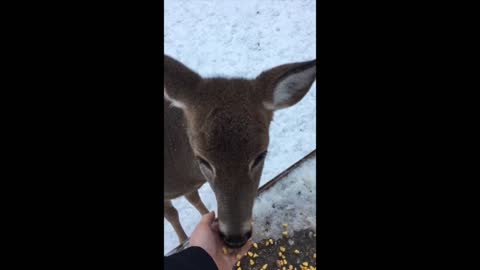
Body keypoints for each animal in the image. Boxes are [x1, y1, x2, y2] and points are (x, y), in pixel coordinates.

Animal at [163, 54, 316, 249]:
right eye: (203, 160)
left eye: (261, 155)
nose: (235, 238)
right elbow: (173, 214)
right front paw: (183, 240)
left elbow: (193, 199)